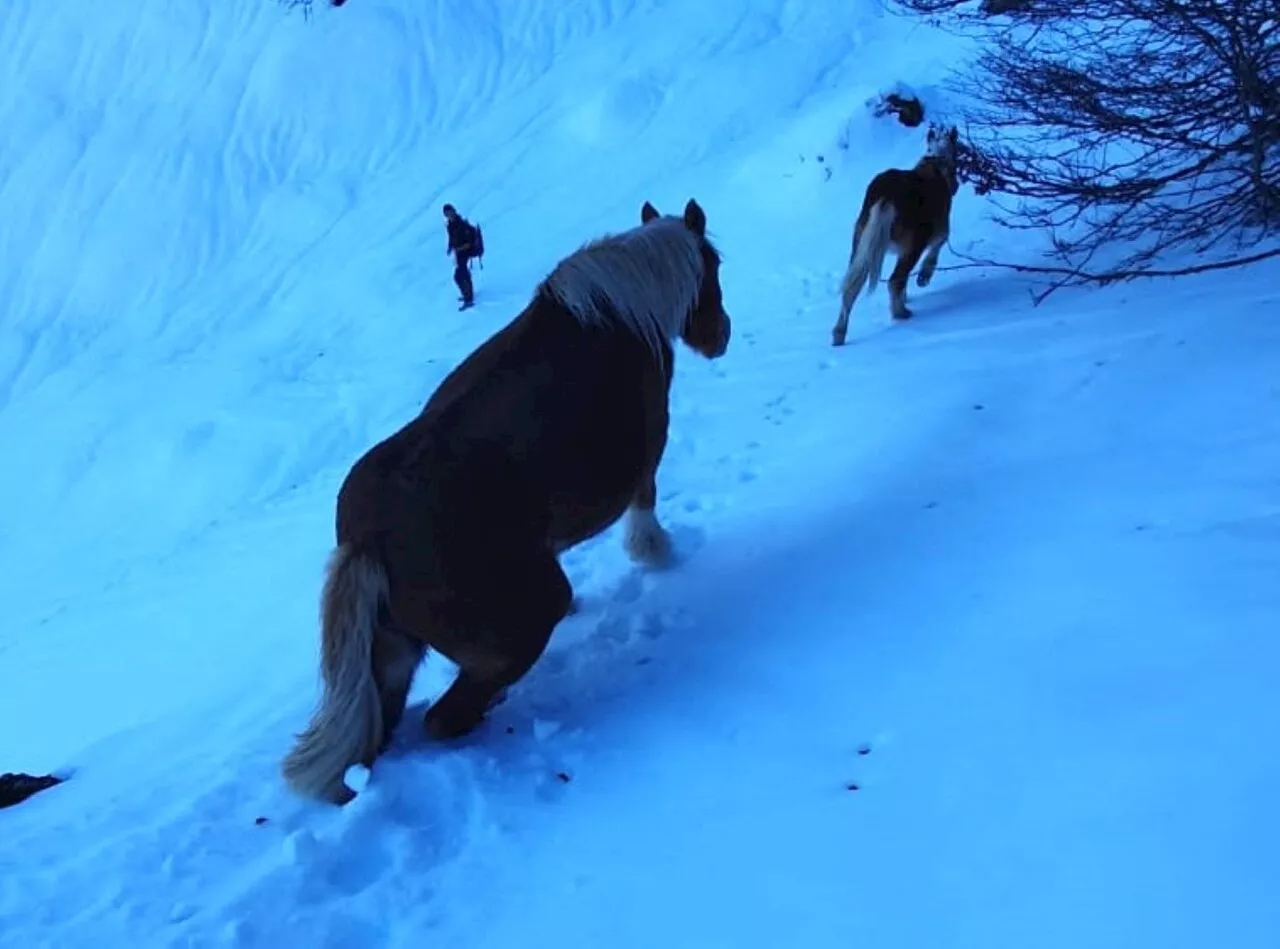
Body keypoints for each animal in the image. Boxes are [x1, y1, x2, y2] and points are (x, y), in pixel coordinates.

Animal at [285, 195, 737, 804]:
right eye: (714, 266)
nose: (721, 335)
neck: (616, 314)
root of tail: (365, 542)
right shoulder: (641, 457)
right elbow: (645, 501)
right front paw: (659, 554)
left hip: (392, 657)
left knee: (382, 732)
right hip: (516, 627)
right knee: (443, 719)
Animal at [829, 124, 962, 345]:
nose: (956, 185)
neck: (938, 159)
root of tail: (885, 196)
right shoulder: (940, 230)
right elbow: (934, 252)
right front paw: (923, 279)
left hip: (861, 241)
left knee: (852, 286)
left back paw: (839, 334)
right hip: (914, 242)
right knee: (894, 279)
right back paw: (901, 313)